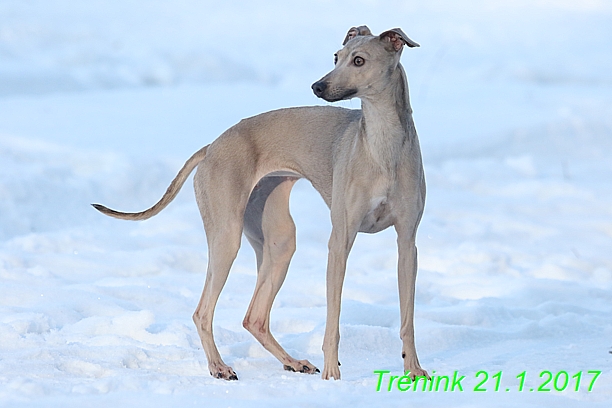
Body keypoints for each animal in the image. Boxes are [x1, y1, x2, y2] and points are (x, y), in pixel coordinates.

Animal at [93, 25, 428, 380]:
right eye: (336, 57)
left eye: (359, 60)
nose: (317, 86)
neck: (383, 148)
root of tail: (211, 147)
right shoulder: (340, 241)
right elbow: (333, 320)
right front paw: (332, 376)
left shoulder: (407, 243)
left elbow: (408, 318)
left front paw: (414, 369)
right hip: (227, 235)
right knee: (203, 311)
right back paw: (219, 366)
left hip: (279, 239)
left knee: (254, 316)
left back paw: (293, 361)